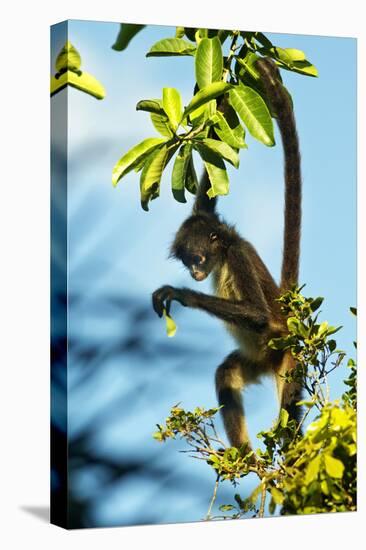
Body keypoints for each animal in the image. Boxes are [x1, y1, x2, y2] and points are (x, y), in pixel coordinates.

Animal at [153, 58, 302, 450]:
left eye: (198, 261)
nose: (194, 275)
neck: (226, 249)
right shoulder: (204, 216)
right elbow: (207, 194)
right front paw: (221, 91)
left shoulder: (236, 256)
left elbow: (257, 315)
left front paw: (181, 295)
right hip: (254, 361)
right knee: (226, 374)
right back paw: (245, 457)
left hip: (288, 358)